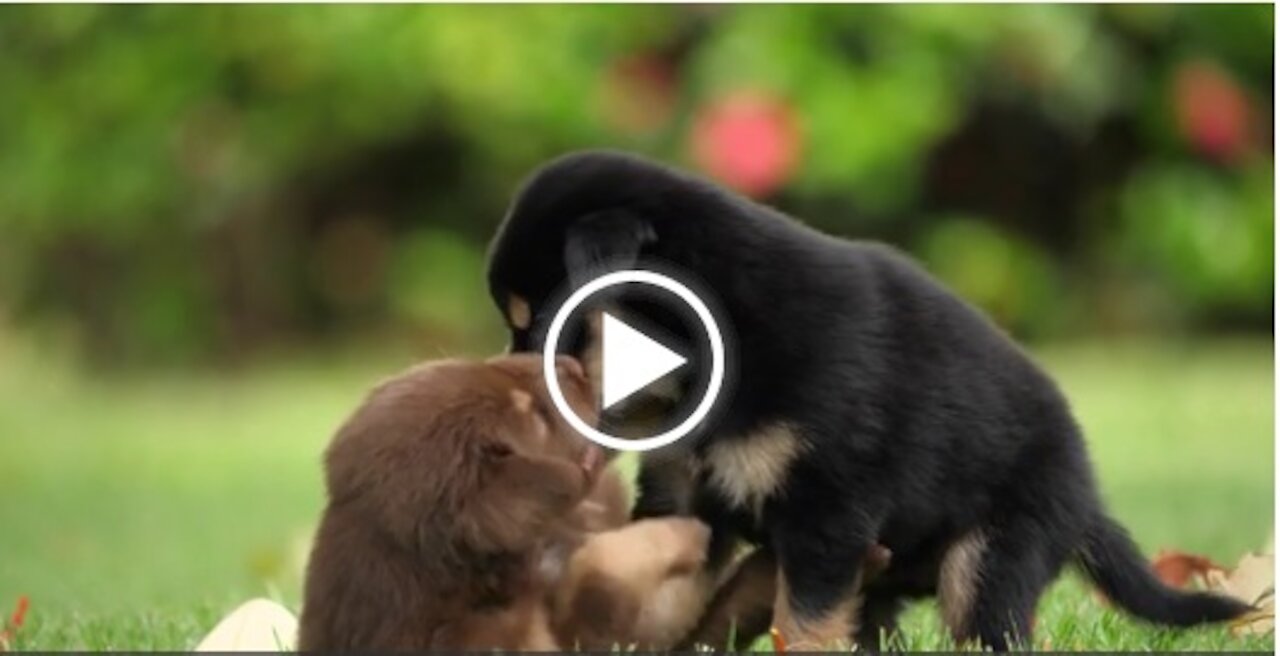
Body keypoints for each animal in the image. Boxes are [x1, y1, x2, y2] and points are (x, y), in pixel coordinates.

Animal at [481, 151, 1249, 648]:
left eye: (542, 325)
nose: (497, 387)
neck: (715, 351)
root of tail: (1086, 499)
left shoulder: (829, 508)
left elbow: (803, 624)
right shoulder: (682, 494)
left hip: (992, 554)